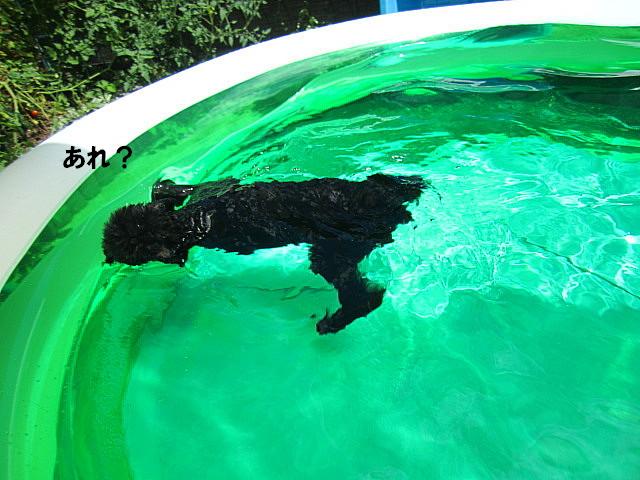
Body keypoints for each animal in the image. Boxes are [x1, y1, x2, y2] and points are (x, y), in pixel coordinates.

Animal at [103, 173, 426, 334]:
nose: (105, 253)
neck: (188, 221)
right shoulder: (208, 190)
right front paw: (164, 188)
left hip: (335, 250)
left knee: (359, 295)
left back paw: (334, 321)